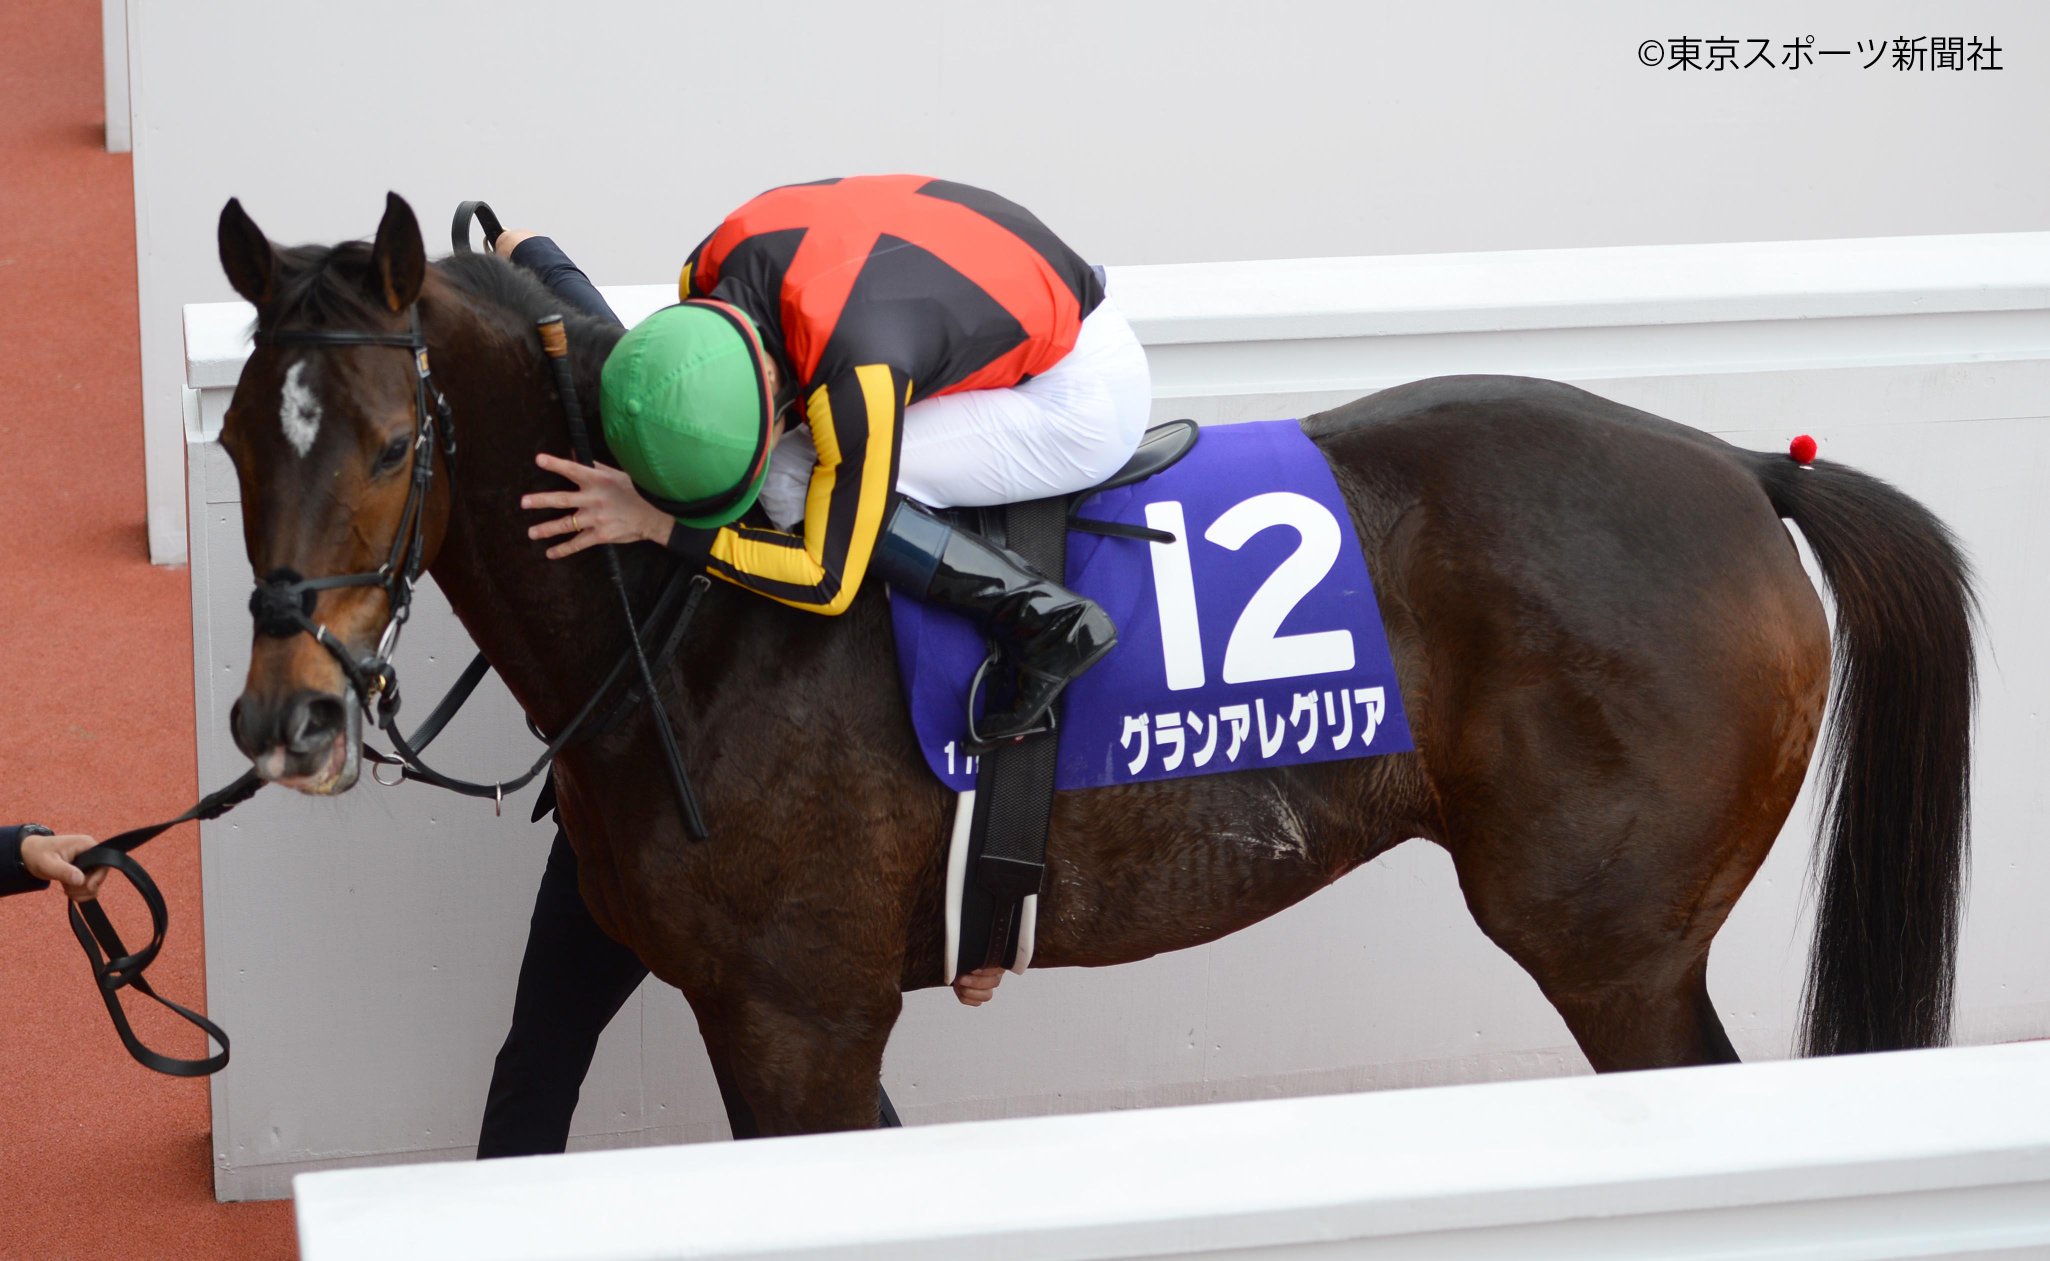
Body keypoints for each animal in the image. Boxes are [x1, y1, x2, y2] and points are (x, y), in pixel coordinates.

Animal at [214, 193, 1973, 1136]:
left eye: (389, 445)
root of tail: (1743, 469)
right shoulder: (686, 968)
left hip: (1615, 945)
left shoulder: (799, 1018)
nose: (284, 715)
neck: (682, 619)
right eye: (238, 438)